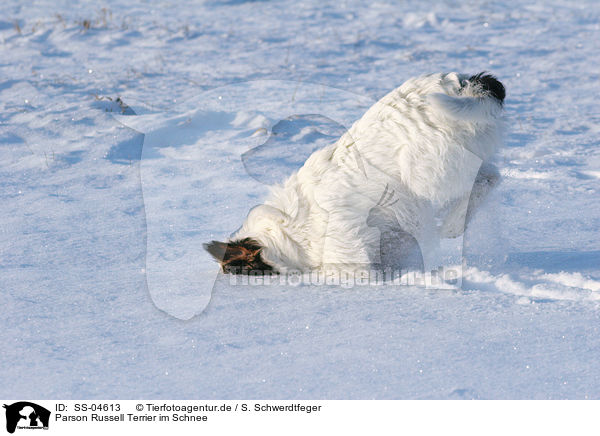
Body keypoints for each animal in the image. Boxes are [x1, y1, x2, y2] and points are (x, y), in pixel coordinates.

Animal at [204, 73, 504, 274]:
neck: (288, 232)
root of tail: (462, 84)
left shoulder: (347, 243)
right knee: (491, 177)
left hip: (428, 174)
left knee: (478, 184)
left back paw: (453, 224)